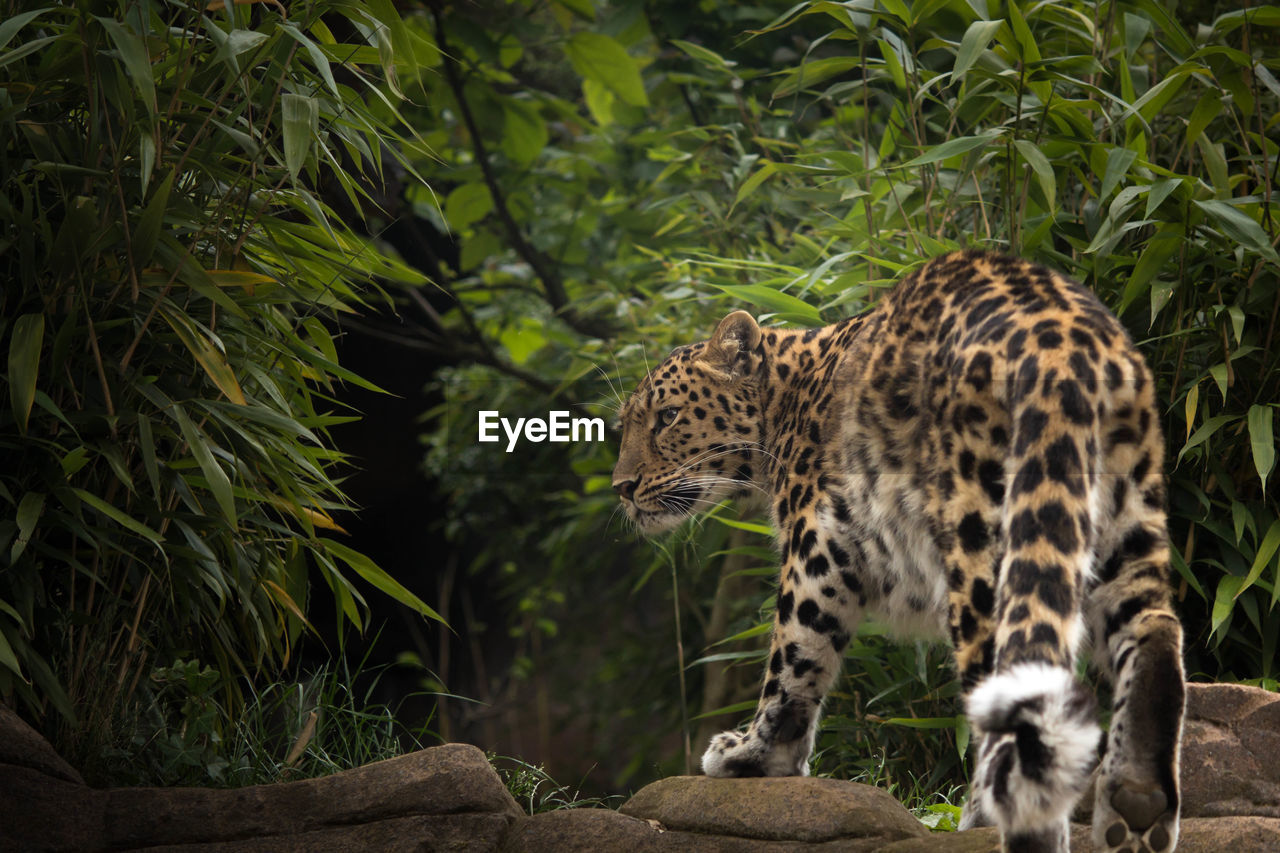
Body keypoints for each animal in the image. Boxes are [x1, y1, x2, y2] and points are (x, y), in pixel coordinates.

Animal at [614, 249, 1182, 845]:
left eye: (668, 417)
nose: (620, 487)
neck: (780, 410)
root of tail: (1066, 347)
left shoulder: (815, 548)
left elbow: (792, 659)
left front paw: (752, 755)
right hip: (1125, 520)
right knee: (1154, 632)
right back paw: (1135, 802)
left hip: (984, 547)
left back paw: (994, 819)